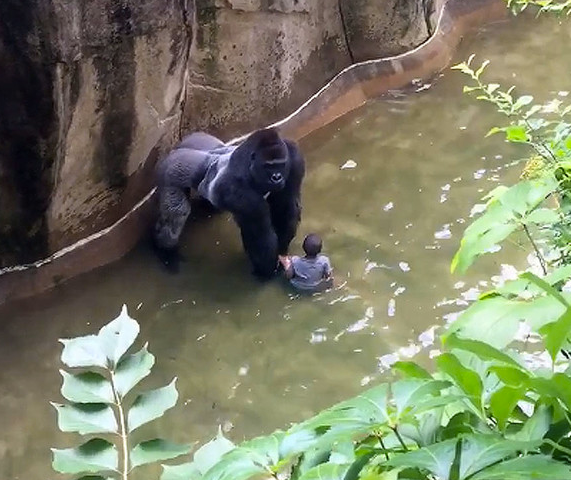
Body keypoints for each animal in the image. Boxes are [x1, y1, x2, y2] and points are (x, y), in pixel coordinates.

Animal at [151, 127, 304, 278]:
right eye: (268, 166)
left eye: (281, 164)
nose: (277, 177)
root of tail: (176, 149)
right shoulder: (236, 188)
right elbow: (260, 232)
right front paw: (266, 271)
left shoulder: (294, 158)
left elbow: (287, 206)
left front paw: (281, 253)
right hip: (171, 169)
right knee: (177, 214)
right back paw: (166, 251)